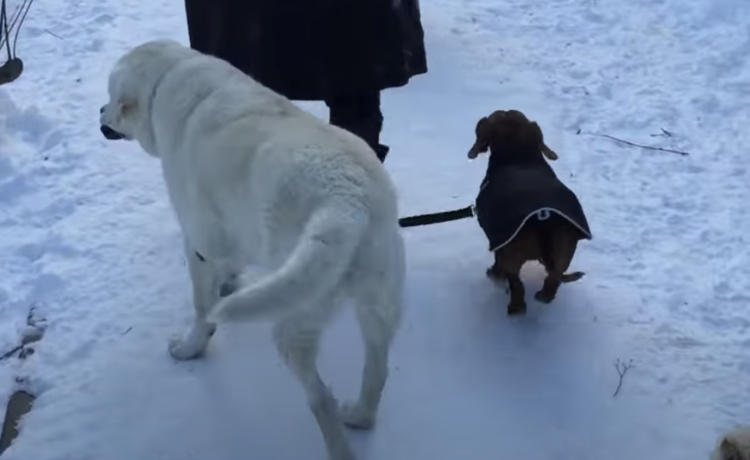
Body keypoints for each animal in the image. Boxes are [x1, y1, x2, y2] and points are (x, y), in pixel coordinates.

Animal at [100, 39, 408, 460]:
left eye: (110, 98)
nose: (100, 113)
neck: (170, 74)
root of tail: (348, 204)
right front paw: (230, 282)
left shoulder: (199, 243)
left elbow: (203, 308)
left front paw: (190, 347)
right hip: (378, 304)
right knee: (377, 372)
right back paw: (359, 415)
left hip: (294, 319)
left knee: (321, 399)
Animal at [470, 109, 592, 314]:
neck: (519, 156)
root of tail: (543, 216)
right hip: (565, 247)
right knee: (554, 277)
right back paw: (543, 295)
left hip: (511, 253)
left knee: (515, 282)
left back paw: (513, 302)